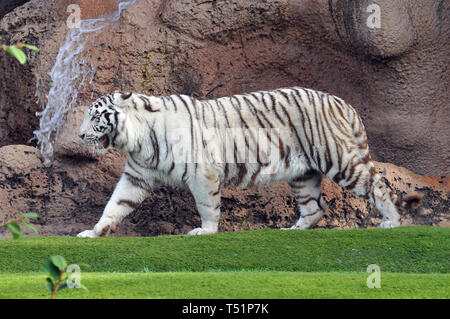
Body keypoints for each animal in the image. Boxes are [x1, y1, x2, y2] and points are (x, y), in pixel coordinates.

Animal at [75, 87, 420, 238]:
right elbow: (115, 204)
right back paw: (292, 230)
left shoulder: (202, 174)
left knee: (377, 185)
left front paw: (205, 231)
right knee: (315, 207)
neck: (137, 138)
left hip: (338, 158)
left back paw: (392, 222)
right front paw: (94, 231)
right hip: (303, 173)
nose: (79, 135)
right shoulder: (136, 176)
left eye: (95, 116)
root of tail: (342, 102)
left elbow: (207, 206)